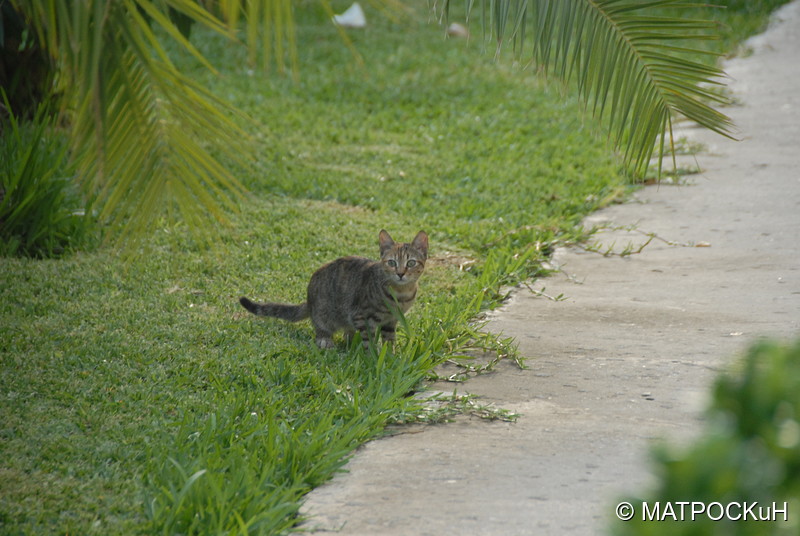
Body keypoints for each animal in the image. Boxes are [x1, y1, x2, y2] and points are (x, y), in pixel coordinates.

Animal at [241, 229, 428, 348]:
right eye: (392, 263)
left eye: (411, 263)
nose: (400, 273)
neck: (401, 294)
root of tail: (309, 300)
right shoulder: (361, 316)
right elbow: (369, 343)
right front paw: (374, 359)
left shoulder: (391, 321)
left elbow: (389, 340)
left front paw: (390, 358)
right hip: (324, 312)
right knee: (321, 327)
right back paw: (325, 339)